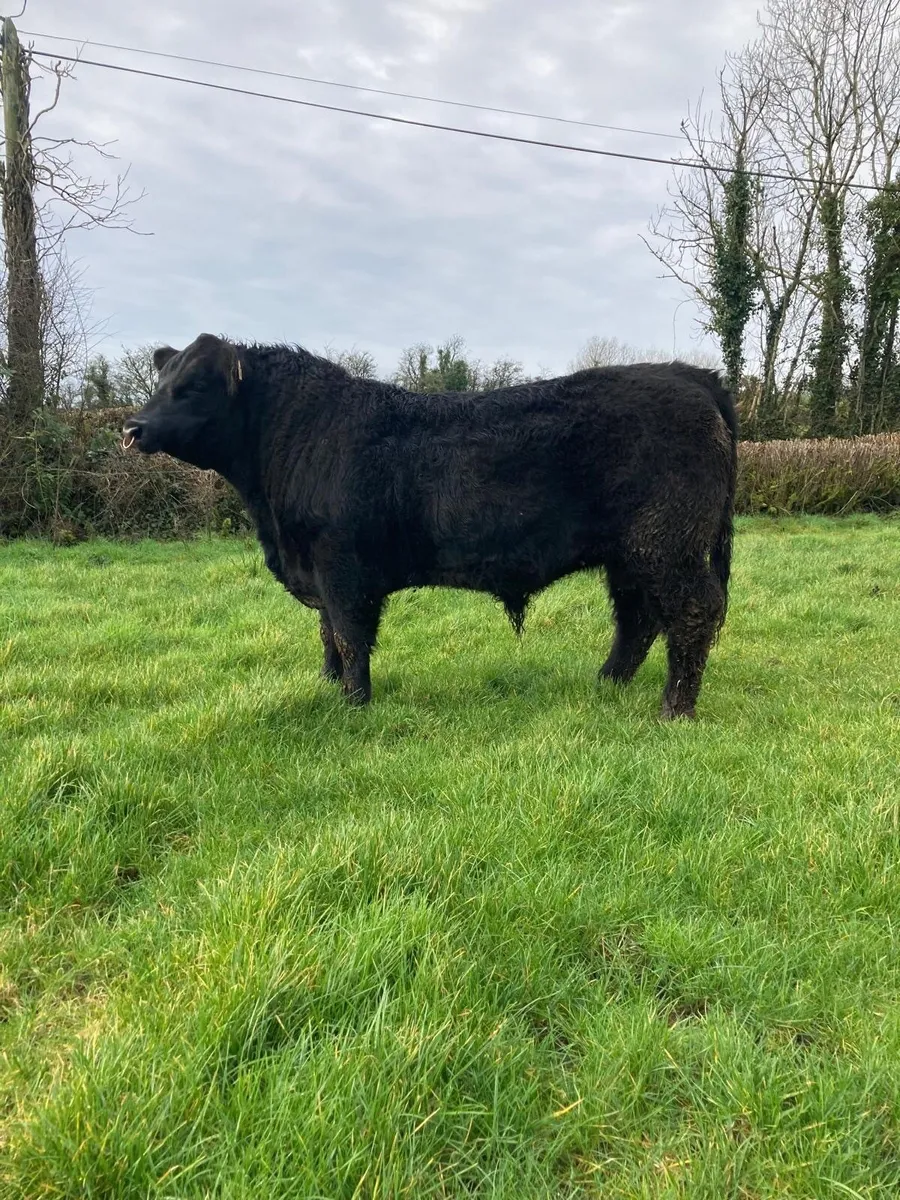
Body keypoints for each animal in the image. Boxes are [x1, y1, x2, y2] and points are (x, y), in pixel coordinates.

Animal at [123, 333, 737, 719]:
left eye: (194, 386)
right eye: (159, 381)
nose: (132, 427)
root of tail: (688, 375)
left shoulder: (342, 569)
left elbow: (348, 636)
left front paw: (354, 705)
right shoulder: (317, 570)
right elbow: (327, 636)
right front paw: (326, 689)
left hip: (667, 544)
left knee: (692, 611)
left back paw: (673, 709)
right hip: (630, 555)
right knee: (637, 620)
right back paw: (605, 685)